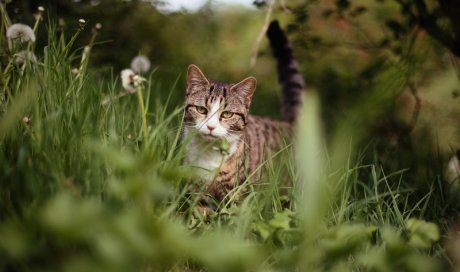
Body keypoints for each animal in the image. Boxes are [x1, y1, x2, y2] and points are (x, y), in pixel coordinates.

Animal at [182, 20, 306, 204]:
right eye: (201, 109)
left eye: (227, 114)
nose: (211, 127)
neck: (208, 155)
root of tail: (288, 122)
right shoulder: (197, 187)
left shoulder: (236, 193)